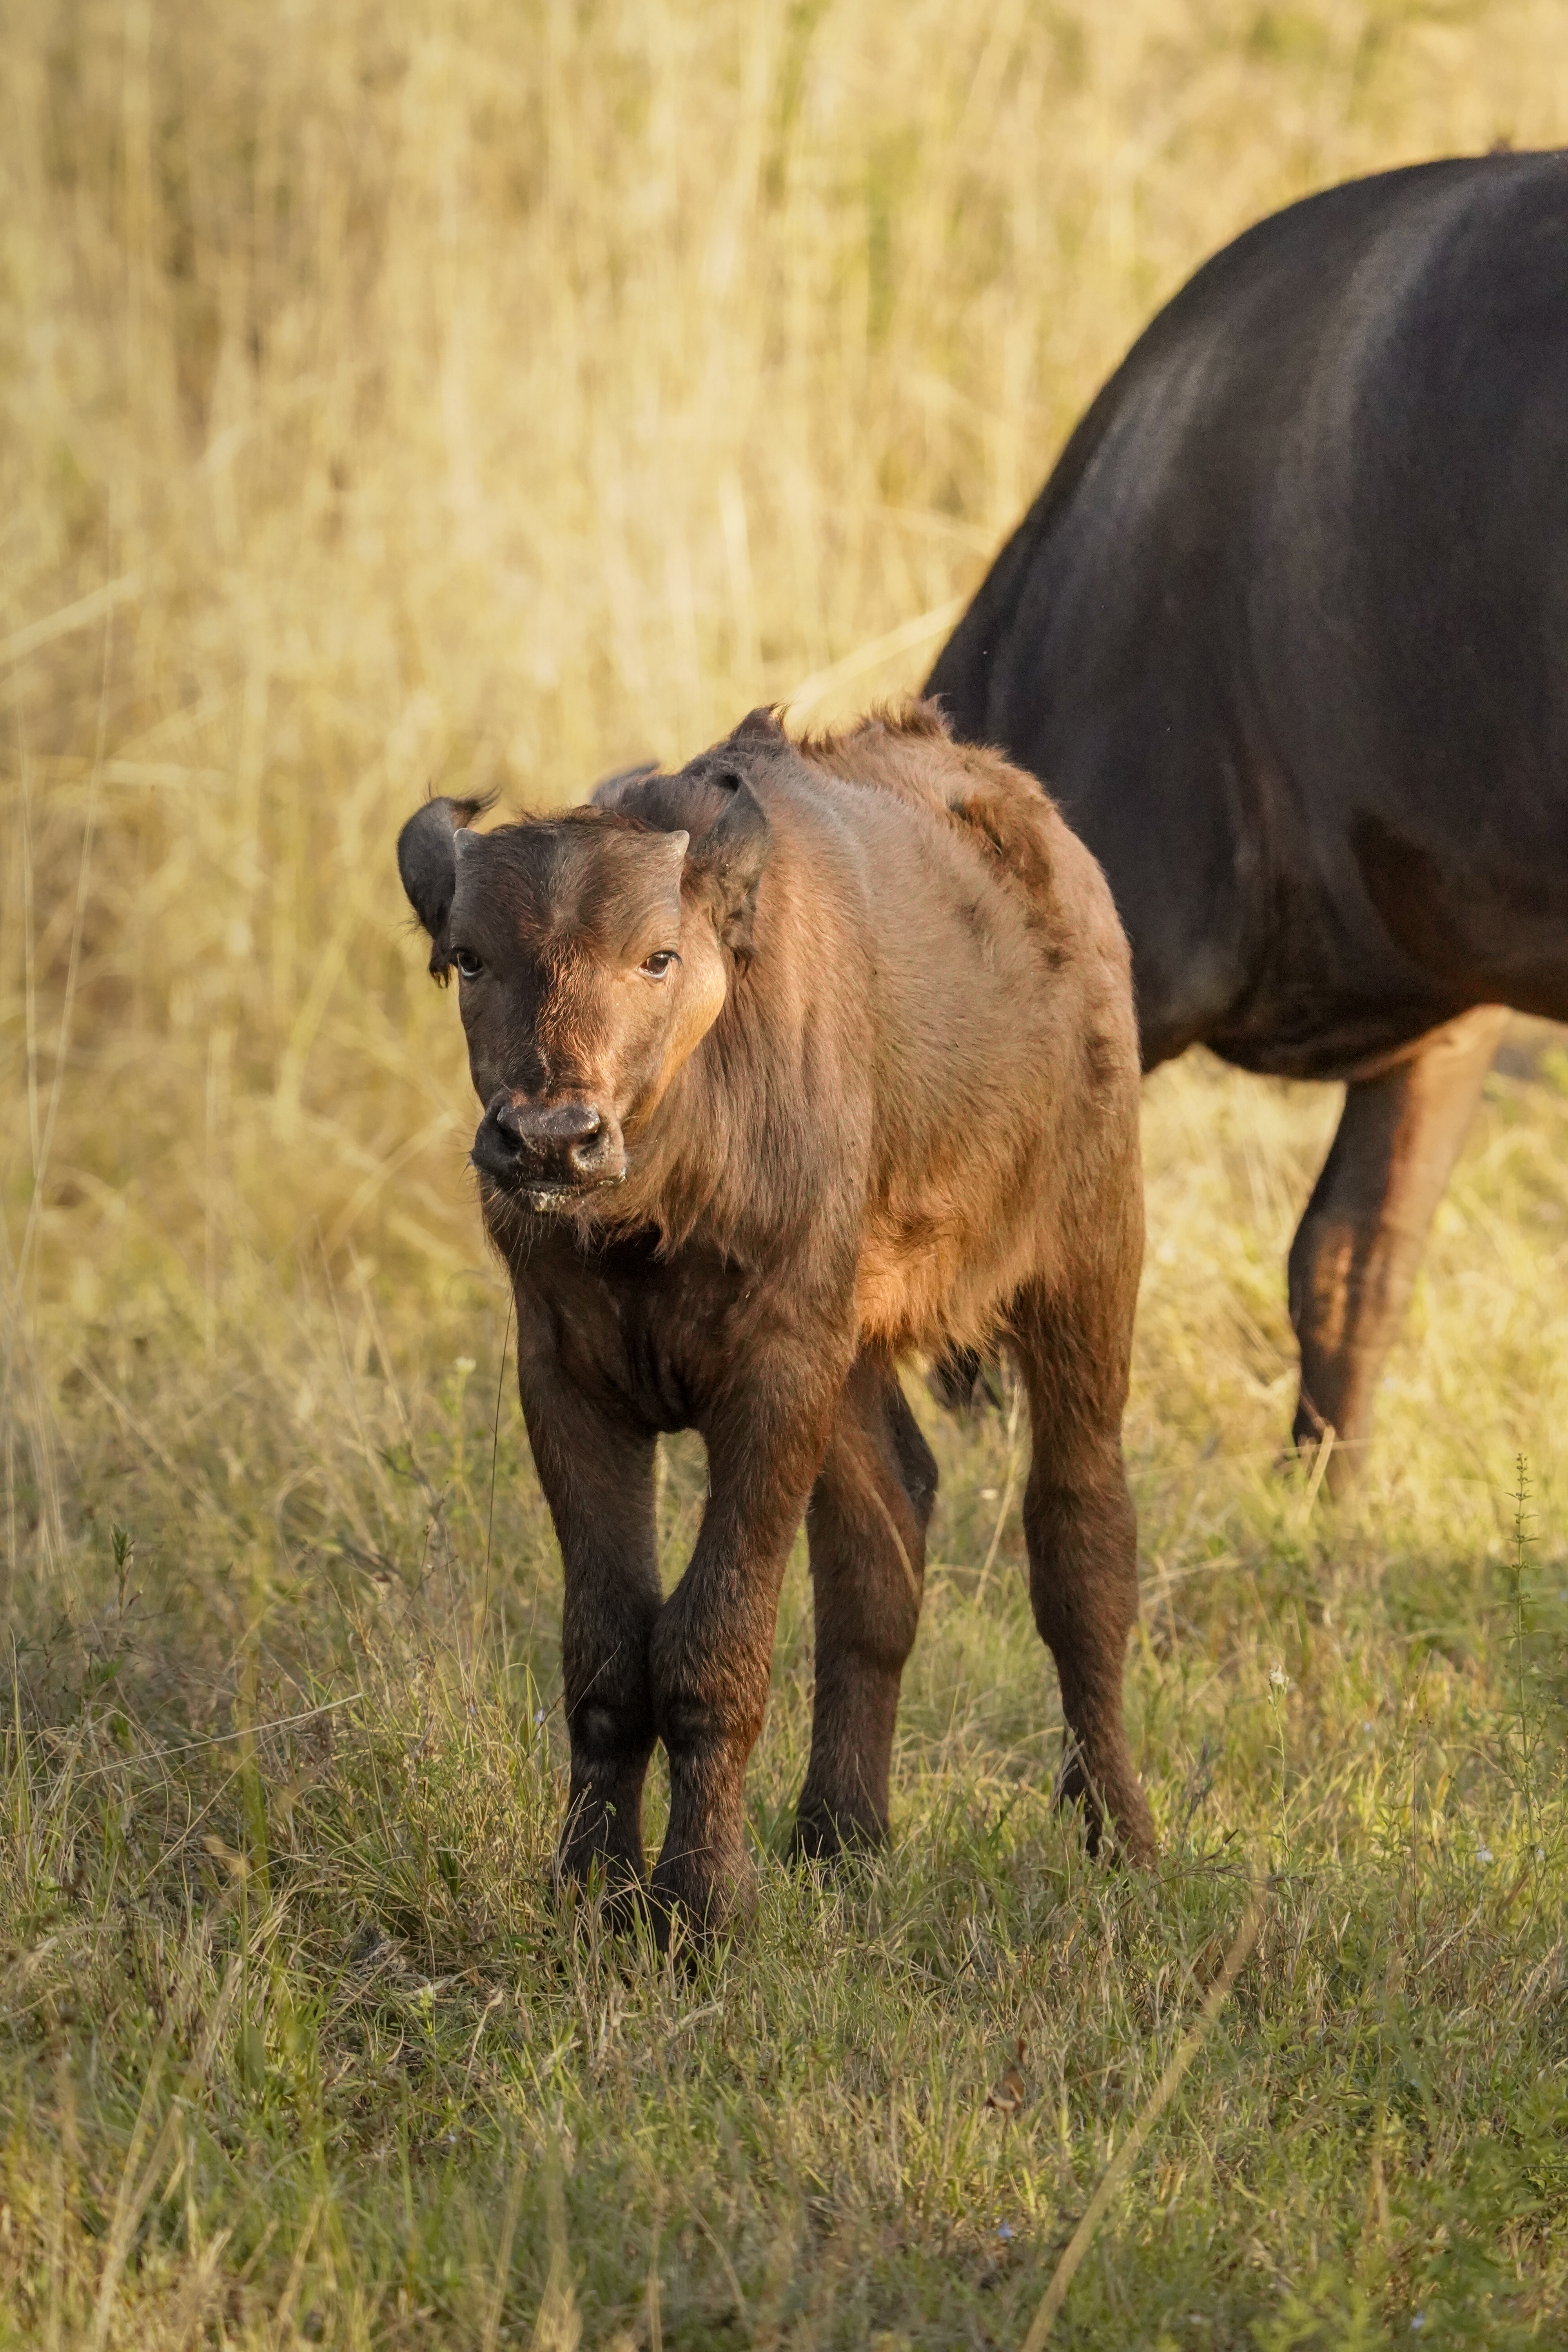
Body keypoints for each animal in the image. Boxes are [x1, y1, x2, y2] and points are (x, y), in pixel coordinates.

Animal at [397, 704, 1155, 1939]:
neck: (658, 1201)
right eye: (471, 957)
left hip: (1086, 1271)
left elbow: (711, 1646)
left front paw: (703, 1906)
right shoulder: (568, 1384)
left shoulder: (772, 1378)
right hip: (854, 1357)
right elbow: (606, 1653)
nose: (552, 1138)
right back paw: (842, 1836)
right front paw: (590, 1888)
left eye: (657, 956)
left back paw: (1119, 1837)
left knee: (1080, 1545)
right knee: (884, 1544)